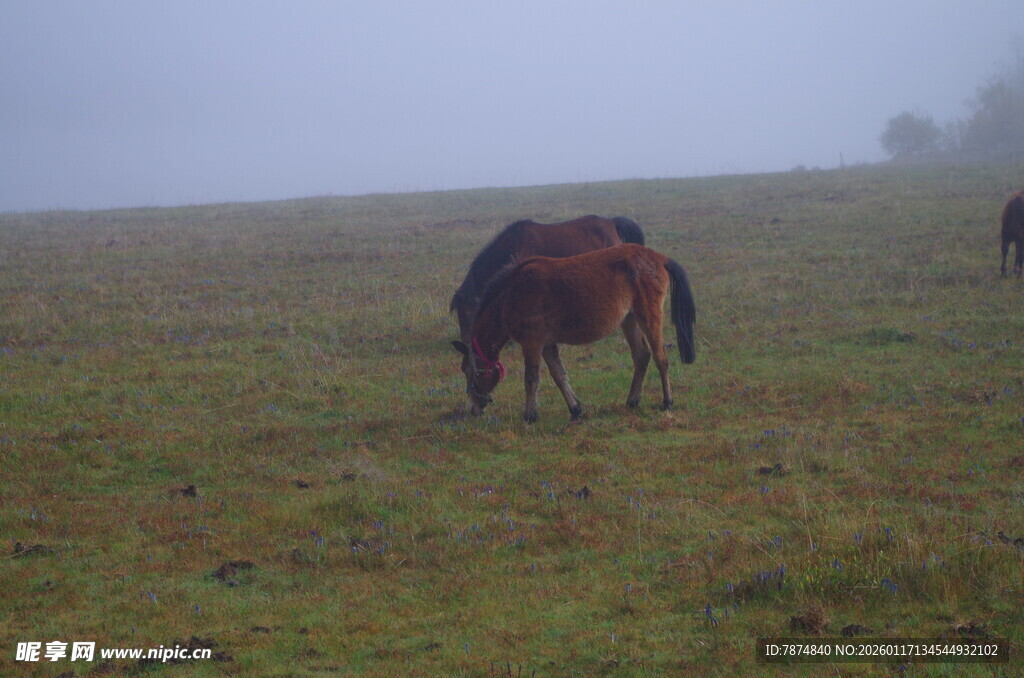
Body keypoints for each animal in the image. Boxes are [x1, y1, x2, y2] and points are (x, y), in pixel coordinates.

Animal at [451, 244, 696, 423]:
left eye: (468, 370)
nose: (472, 408)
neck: (510, 295)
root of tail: (660, 258)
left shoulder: (532, 343)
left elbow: (531, 378)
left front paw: (530, 415)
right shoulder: (547, 344)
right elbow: (559, 375)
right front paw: (575, 409)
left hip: (649, 316)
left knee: (660, 358)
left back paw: (667, 401)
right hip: (629, 320)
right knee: (642, 356)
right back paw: (633, 400)